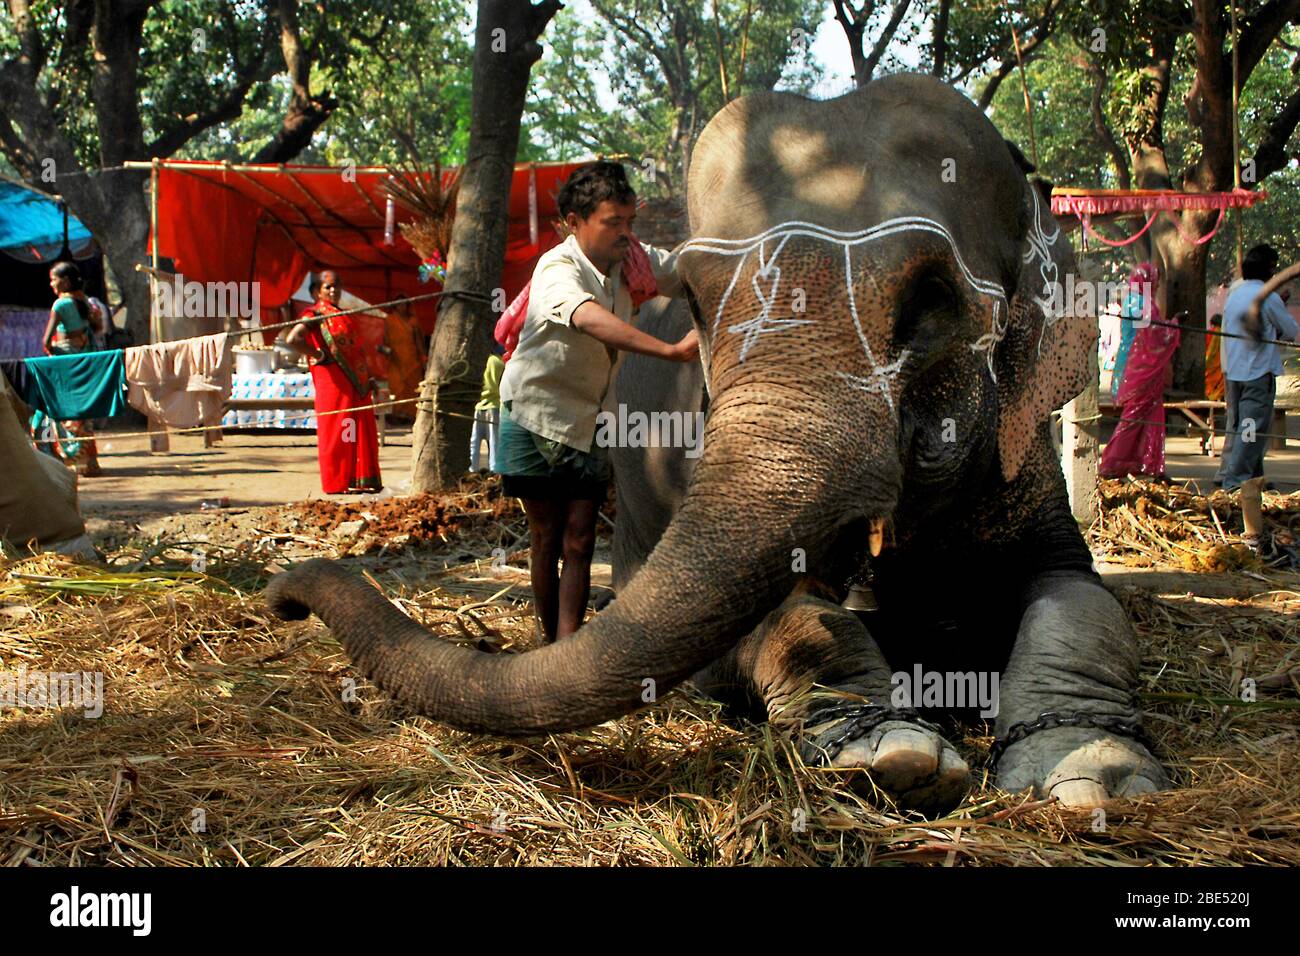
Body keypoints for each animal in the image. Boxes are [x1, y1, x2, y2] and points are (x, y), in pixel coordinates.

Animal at [263, 72, 1170, 816]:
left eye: (931, 298)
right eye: (696, 301)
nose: (281, 598)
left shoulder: (1021, 460)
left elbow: (1075, 593)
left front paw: (1096, 776)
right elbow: (779, 620)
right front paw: (889, 757)